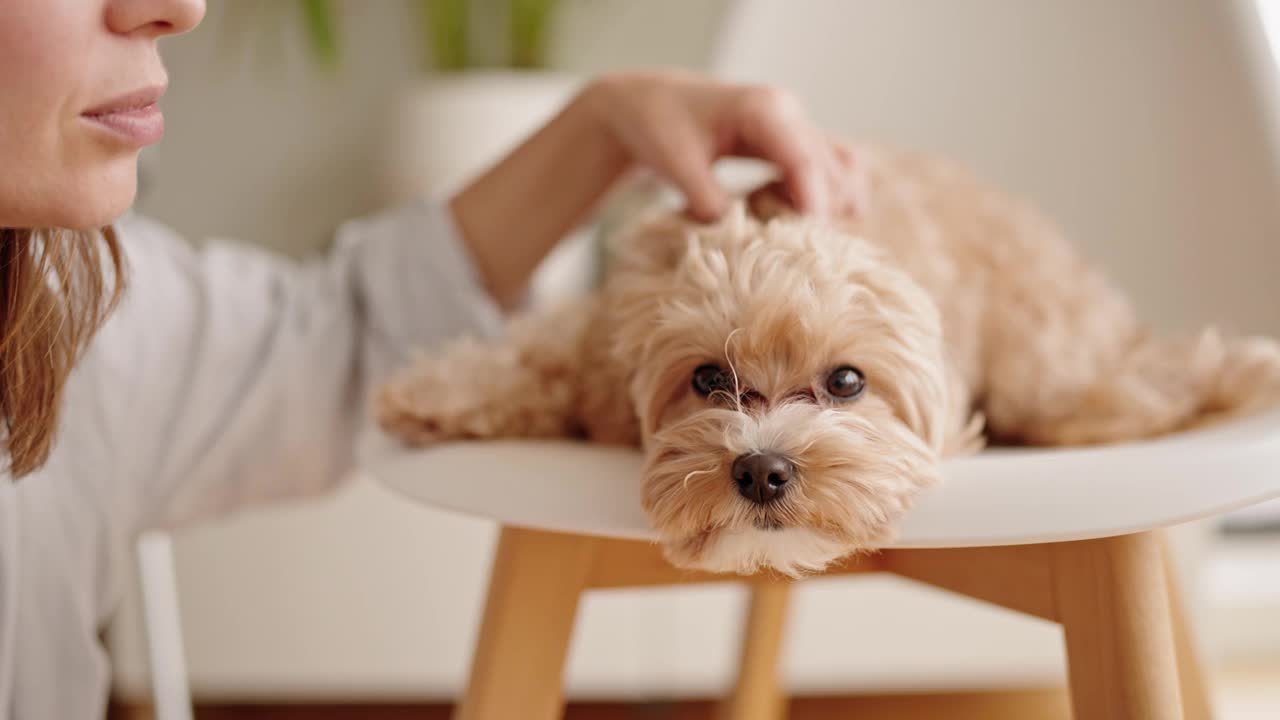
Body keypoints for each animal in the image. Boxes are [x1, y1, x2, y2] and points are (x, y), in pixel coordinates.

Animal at [371, 142, 1280, 573]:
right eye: (708, 379)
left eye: (847, 382)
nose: (762, 470)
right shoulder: (601, 331)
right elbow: (536, 352)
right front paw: (427, 391)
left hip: (1050, 369)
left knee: (1123, 386)